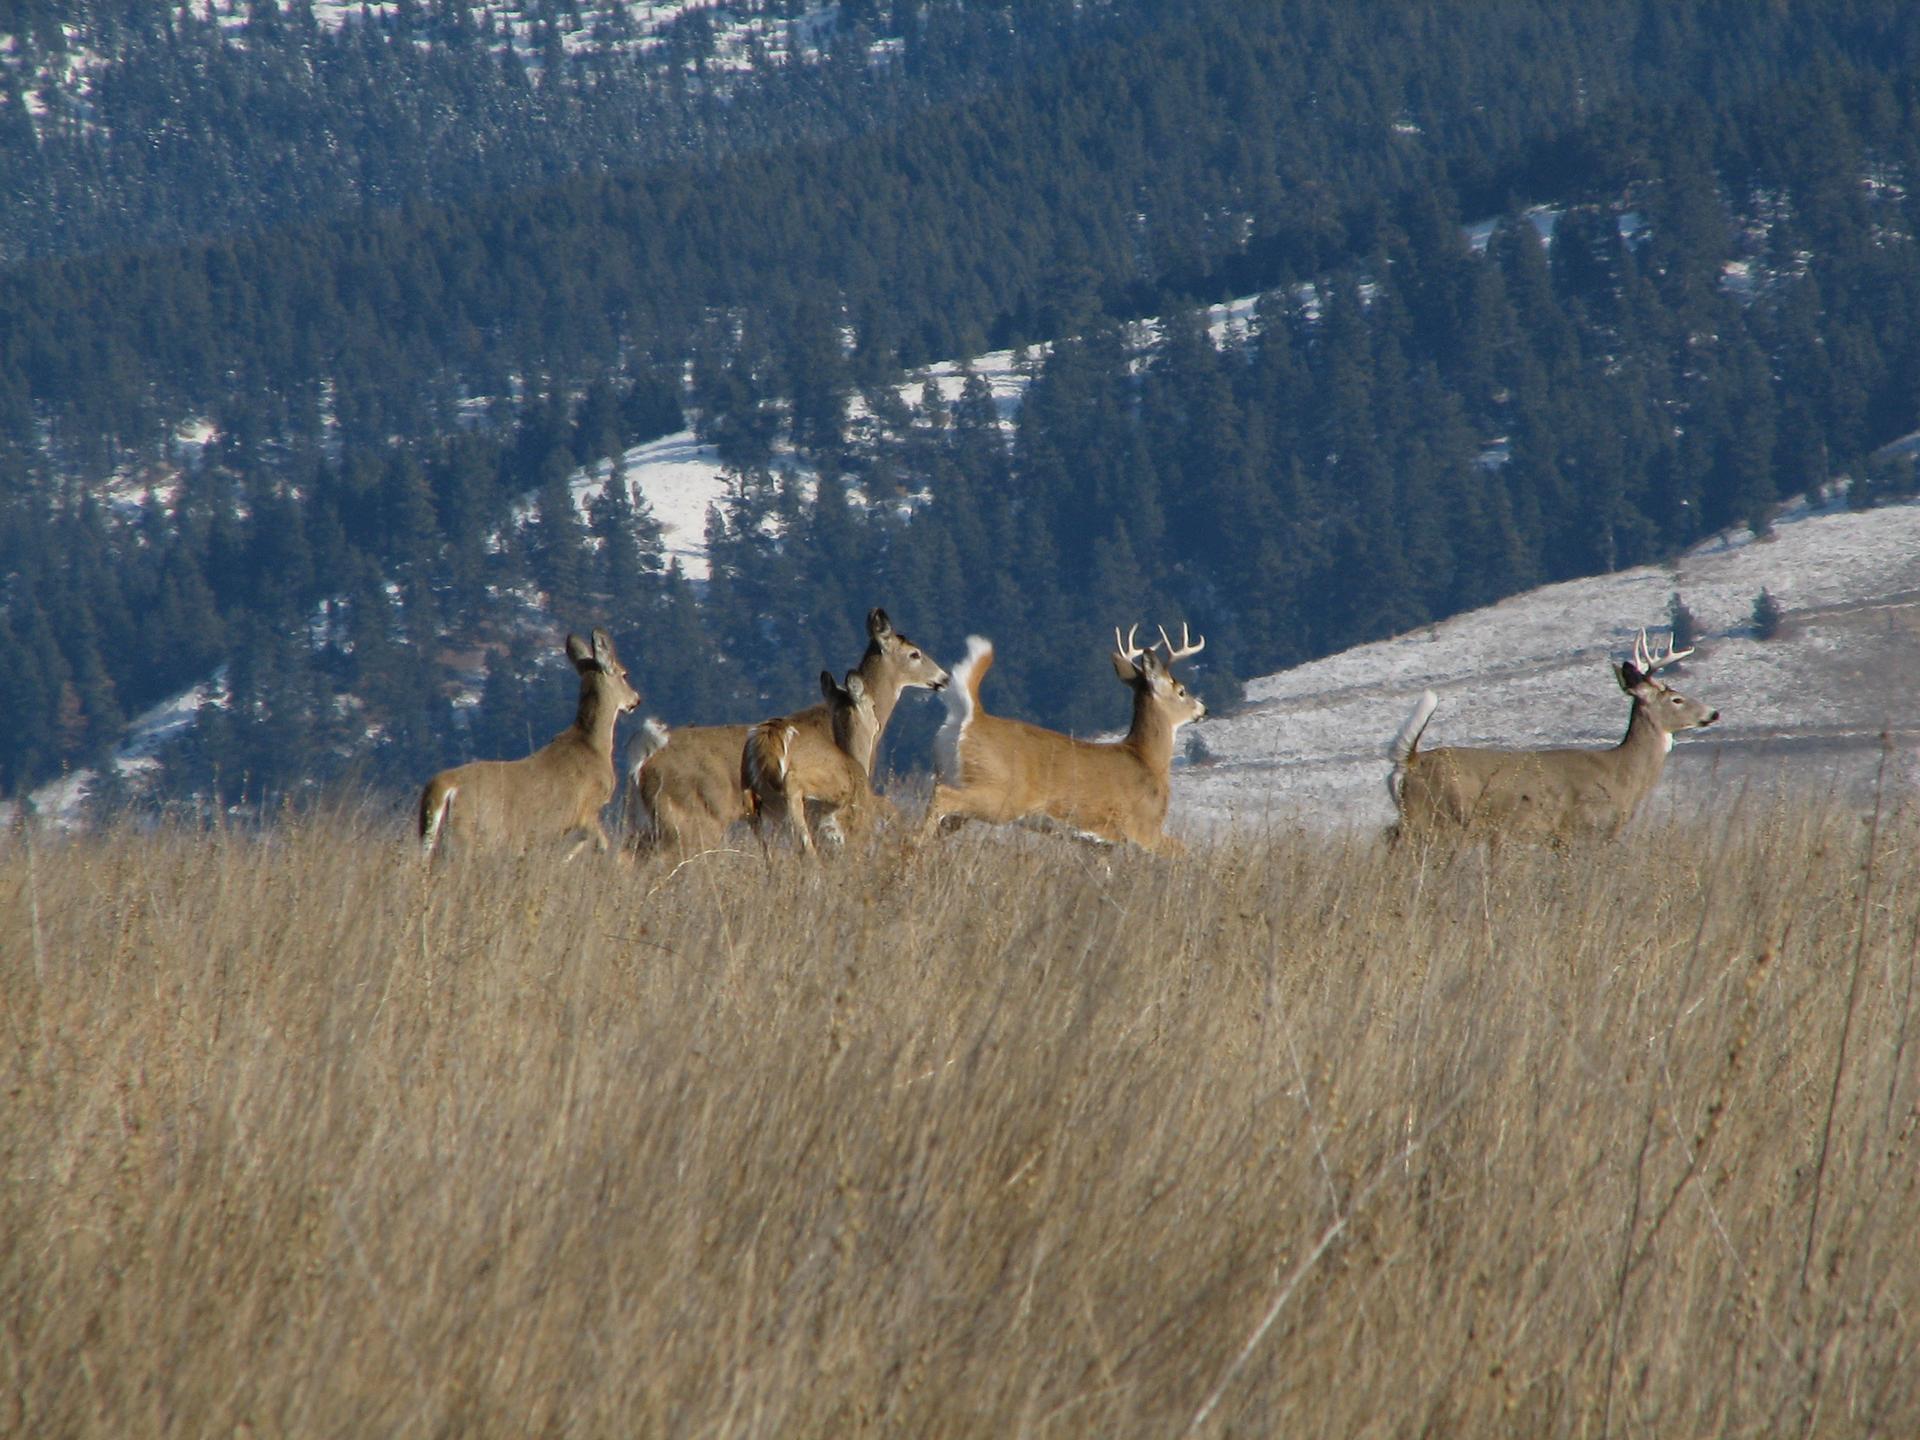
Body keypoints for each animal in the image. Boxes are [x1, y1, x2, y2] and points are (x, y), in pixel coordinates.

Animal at [419, 628, 641, 860]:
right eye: (624, 674)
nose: (636, 699)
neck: (592, 745)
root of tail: (442, 787)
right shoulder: (586, 808)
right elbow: (599, 845)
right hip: (472, 833)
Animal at [740, 670, 895, 852]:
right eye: (873, 705)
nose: (878, 724)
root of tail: (769, 737)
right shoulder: (855, 830)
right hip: (815, 787)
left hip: (753, 798)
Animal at [920, 623, 1207, 853]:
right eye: (1181, 691)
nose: (1202, 709)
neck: (1149, 759)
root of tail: (970, 718)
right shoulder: (1144, 829)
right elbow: (1185, 853)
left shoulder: (1101, 843)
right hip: (1000, 793)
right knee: (942, 796)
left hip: (958, 790)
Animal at [1387, 627, 1720, 846]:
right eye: (1677, 699)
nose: (1714, 712)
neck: (1621, 772)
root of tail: (1410, 760)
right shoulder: (1580, 825)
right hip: (1433, 817)